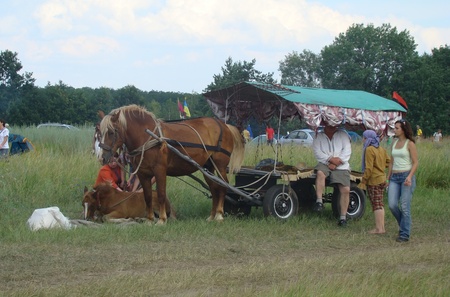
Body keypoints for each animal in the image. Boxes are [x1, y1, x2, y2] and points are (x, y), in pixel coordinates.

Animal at [99, 104, 244, 222]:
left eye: (111, 132)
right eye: (100, 133)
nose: (102, 158)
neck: (148, 137)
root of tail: (225, 125)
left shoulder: (160, 170)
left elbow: (161, 194)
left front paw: (162, 219)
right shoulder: (143, 173)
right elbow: (147, 196)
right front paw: (150, 219)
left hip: (220, 165)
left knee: (223, 186)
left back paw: (219, 215)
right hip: (207, 168)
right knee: (214, 189)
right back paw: (212, 216)